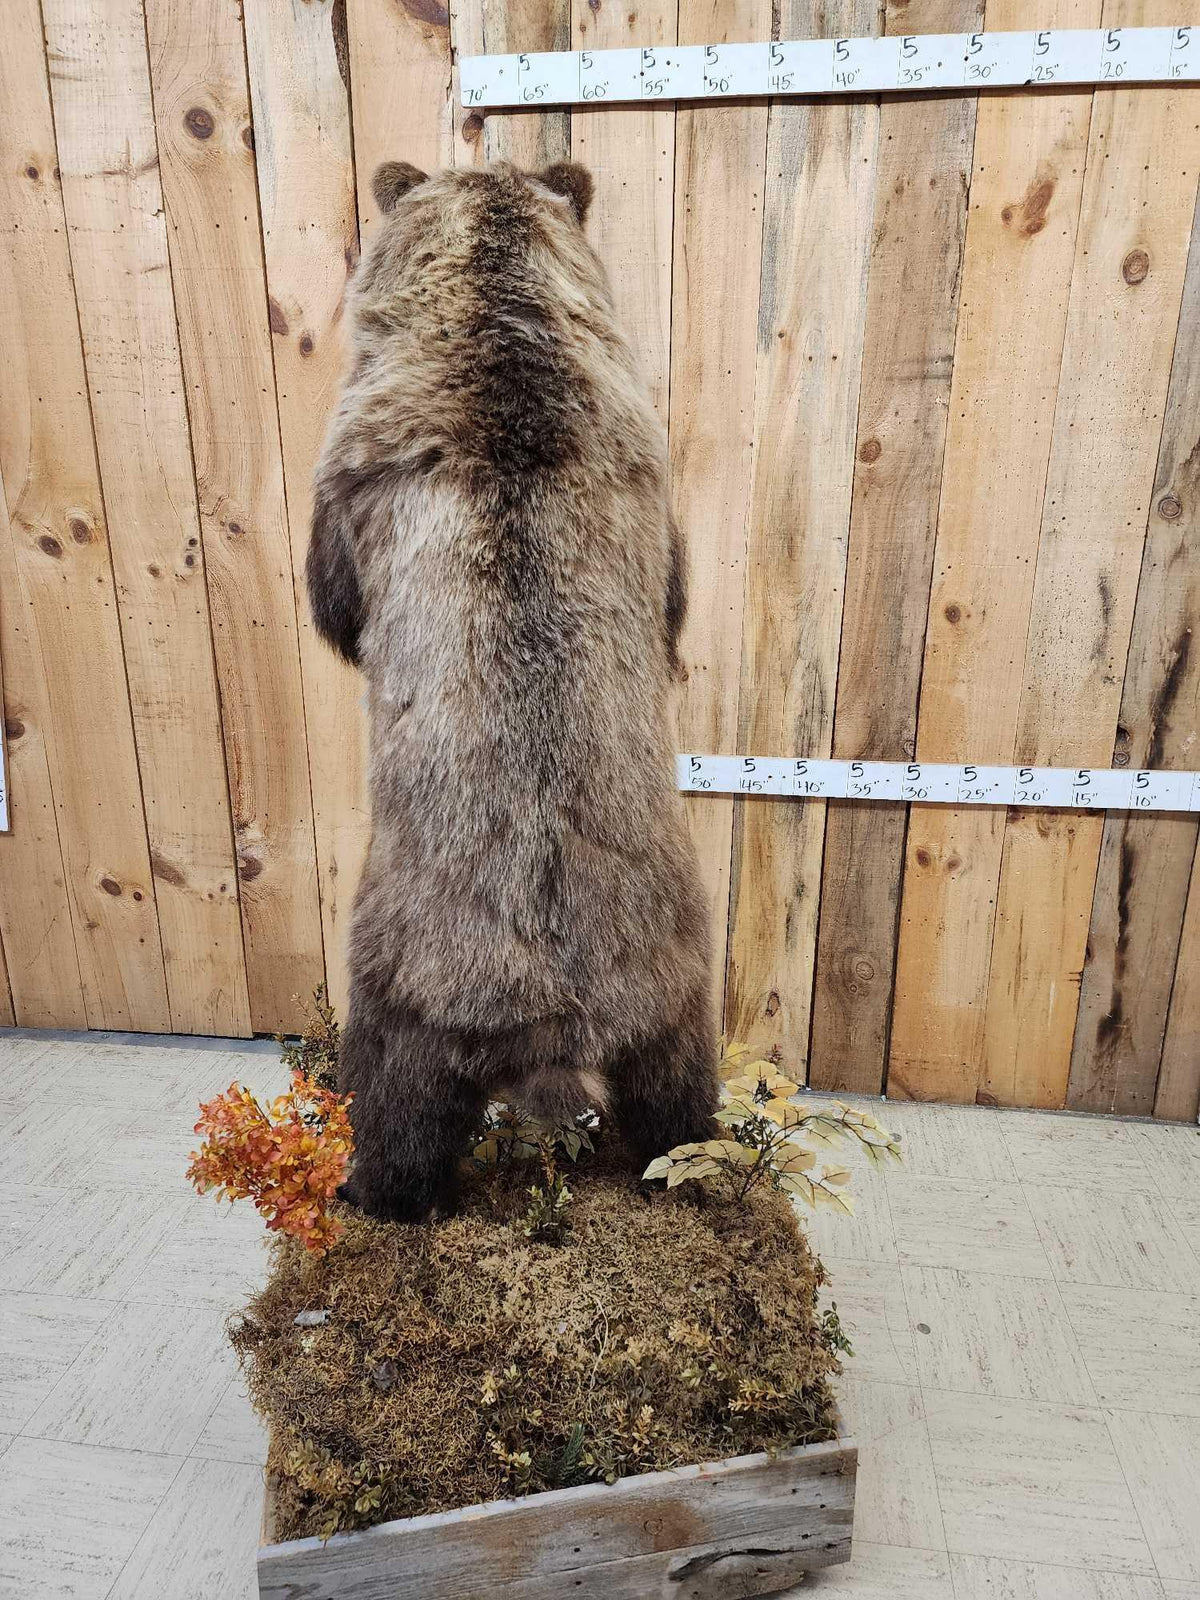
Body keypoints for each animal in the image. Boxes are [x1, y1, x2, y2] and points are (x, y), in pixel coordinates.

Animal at [306, 158, 718, 1222]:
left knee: (398, 1097)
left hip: (409, 973)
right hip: (671, 972)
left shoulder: (356, 451)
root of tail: (557, 1018)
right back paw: (697, 1169)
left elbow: (333, 590)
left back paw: (370, 1190)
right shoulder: (647, 460)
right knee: (677, 1089)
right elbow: (675, 586)